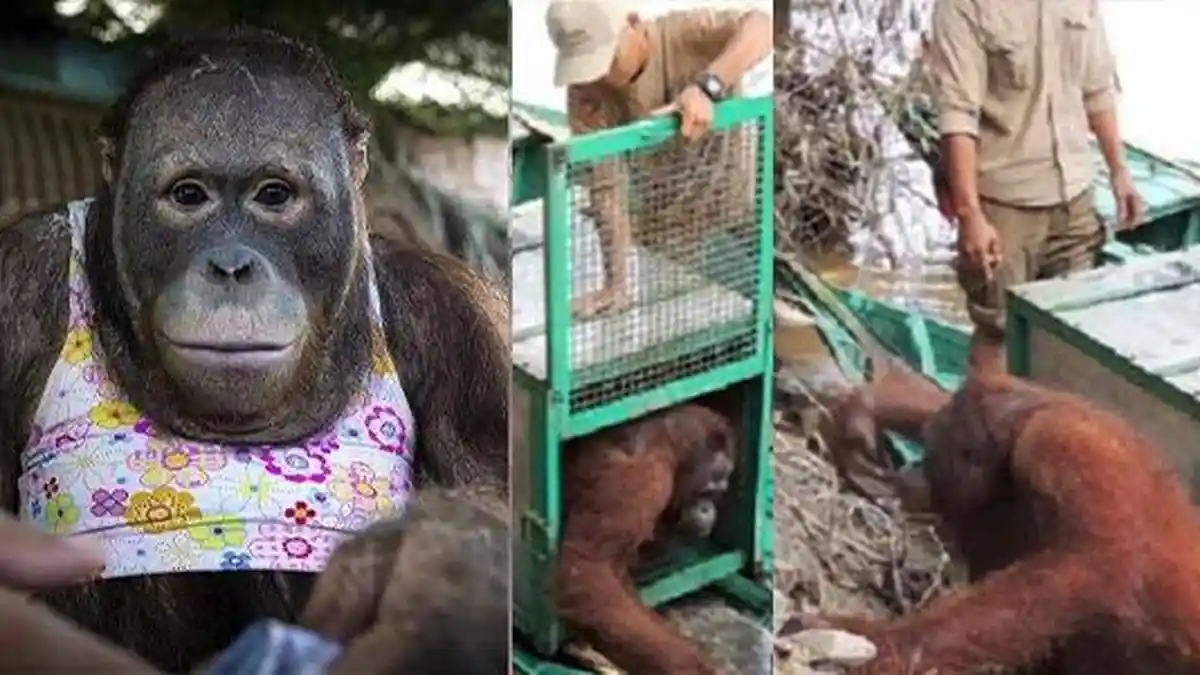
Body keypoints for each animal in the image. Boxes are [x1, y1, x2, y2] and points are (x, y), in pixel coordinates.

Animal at [0, 28, 508, 672]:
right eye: (189, 195)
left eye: (274, 194)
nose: (231, 266)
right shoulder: (18, 281)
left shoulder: (453, 320)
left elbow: (497, 493)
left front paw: (439, 583)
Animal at [554, 402, 739, 675]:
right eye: (707, 492)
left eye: (716, 495)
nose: (709, 510)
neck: (671, 446)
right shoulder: (645, 478)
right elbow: (587, 566)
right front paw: (692, 666)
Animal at [783, 365, 1200, 675]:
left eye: (933, 456)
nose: (917, 471)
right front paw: (862, 411)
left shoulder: (1059, 445)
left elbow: (1090, 565)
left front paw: (874, 642)